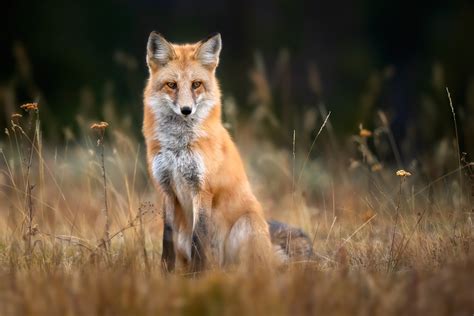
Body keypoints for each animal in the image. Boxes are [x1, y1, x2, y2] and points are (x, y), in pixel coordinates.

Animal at [142, 30, 312, 270]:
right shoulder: (166, 188)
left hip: (246, 225)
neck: (178, 146)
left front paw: (197, 276)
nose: (186, 110)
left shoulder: (202, 189)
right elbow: (167, 240)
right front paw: (165, 274)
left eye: (196, 84)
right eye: (172, 85)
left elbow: (199, 239)